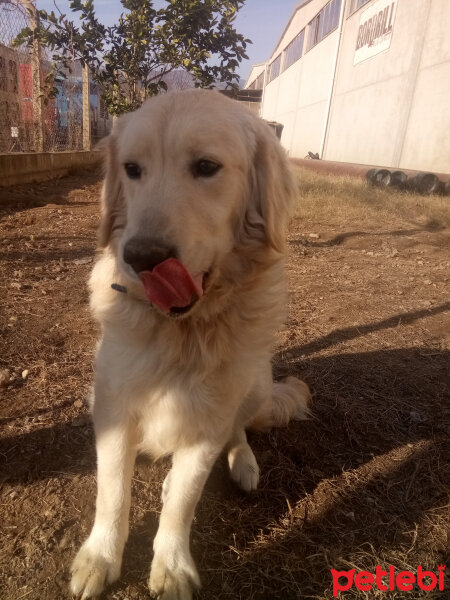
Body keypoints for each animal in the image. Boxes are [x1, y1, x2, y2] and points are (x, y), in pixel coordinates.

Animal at [70, 89, 312, 600]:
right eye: (132, 169)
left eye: (206, 167)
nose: (141, 257)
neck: (182, 331)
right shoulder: (113, 406)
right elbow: (112, 491)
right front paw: (100, 557)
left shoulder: (209, 419)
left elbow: (184, 499)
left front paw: (172, 567)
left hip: (256, 382)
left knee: (237, 433)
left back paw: (243, 464)